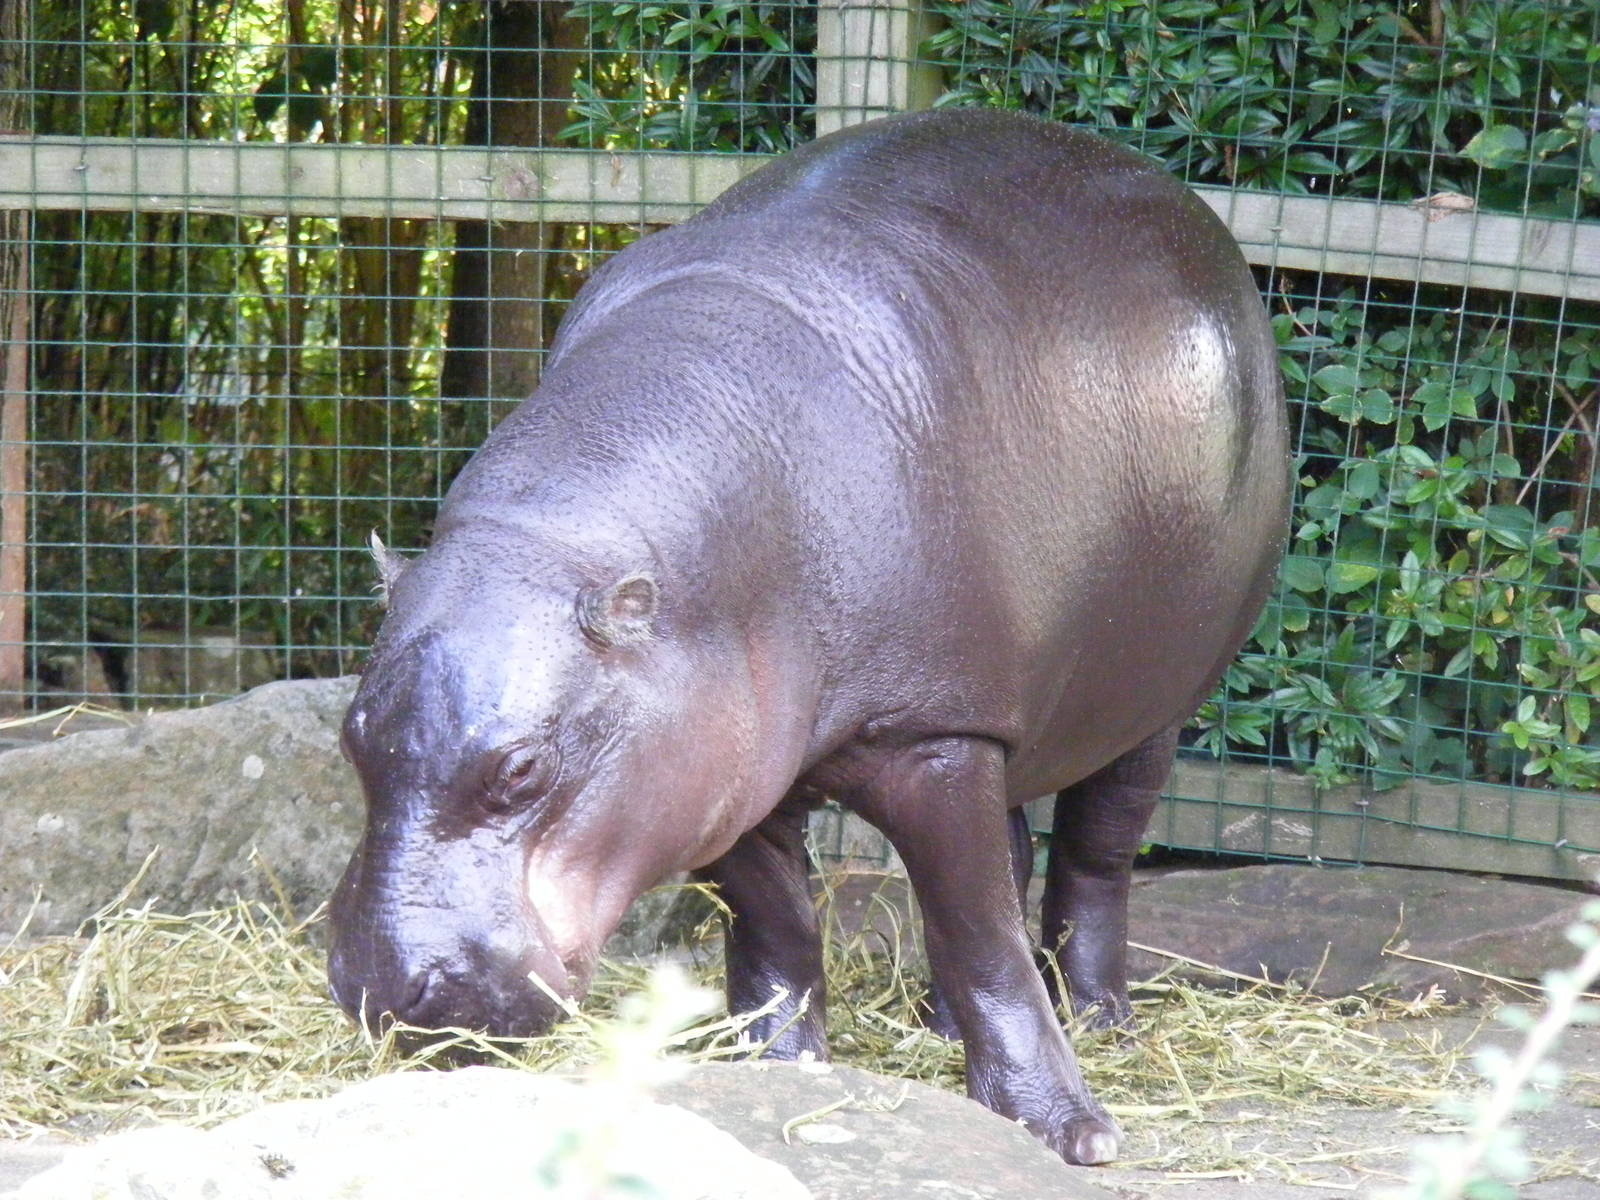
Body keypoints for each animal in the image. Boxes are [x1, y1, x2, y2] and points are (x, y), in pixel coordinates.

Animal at [328, 108, 1289, 1165]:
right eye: (349, 740)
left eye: (523, 770)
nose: (387, 991)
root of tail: (1187, 208)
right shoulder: (721, 773)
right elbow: (779, 924)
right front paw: (778, 1067)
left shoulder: (934, 737)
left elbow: (980, 933)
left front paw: (1067, 1132)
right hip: (1003, 704)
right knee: (1013, 845)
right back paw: (937, 1025)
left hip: (1152, 699)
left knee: (1096, 855)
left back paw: (1100, 1019)